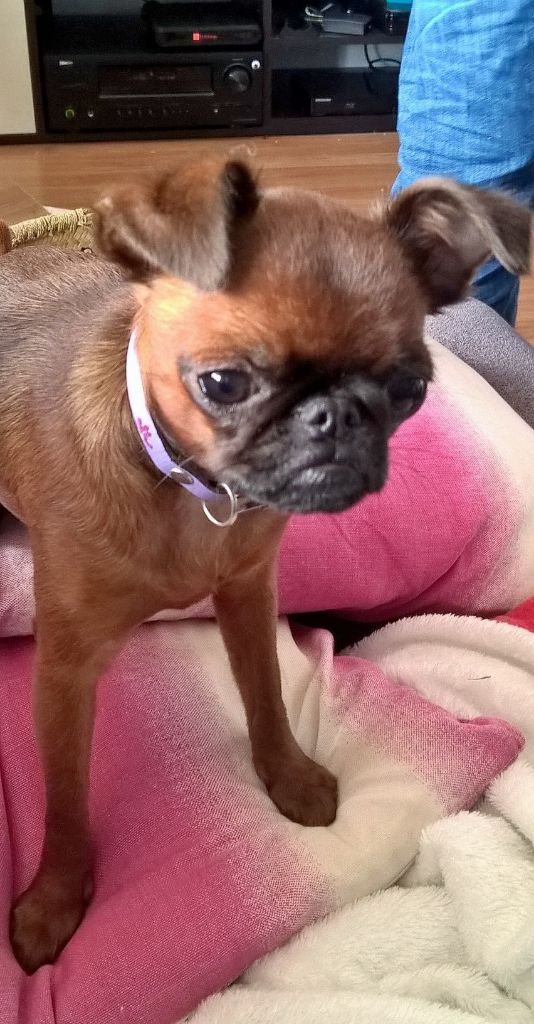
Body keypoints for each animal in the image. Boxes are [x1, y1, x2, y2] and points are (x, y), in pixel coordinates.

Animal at [0, 159, 529, 974]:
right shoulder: (64, 672)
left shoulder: (248, 594)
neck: (191, 495)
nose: (332, 415)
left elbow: (267, 693)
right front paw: (55, 900)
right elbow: (65, 795)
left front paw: (288, 776)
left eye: (408, 389)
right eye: (222, 383)